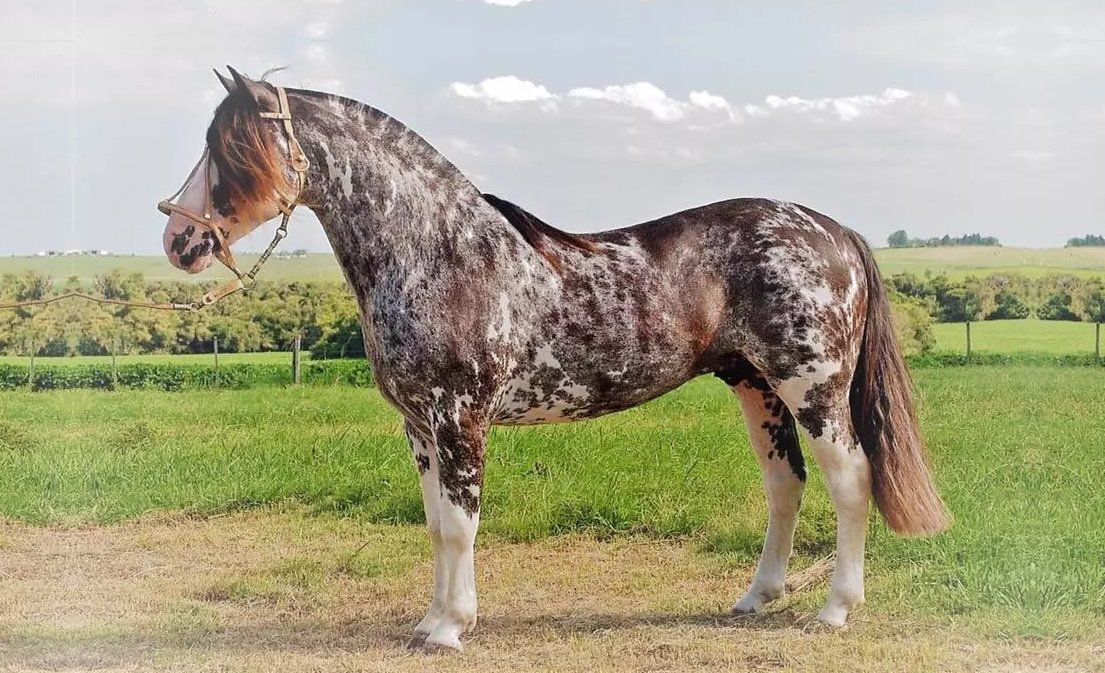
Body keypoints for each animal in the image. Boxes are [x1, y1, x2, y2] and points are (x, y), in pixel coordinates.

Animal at [159, 67, 949, 652]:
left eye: (228, 148)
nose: (177, 240)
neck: (437, 252)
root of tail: (832, 230)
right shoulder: (419, 424)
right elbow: (436, 524)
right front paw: (429, 620)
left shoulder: (458, 418)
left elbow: (461, 523)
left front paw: (450, 629)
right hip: (756, 387)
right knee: (785, 486)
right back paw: (754, 598)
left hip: (812, 387)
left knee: (850, 481)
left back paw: (834, 610)